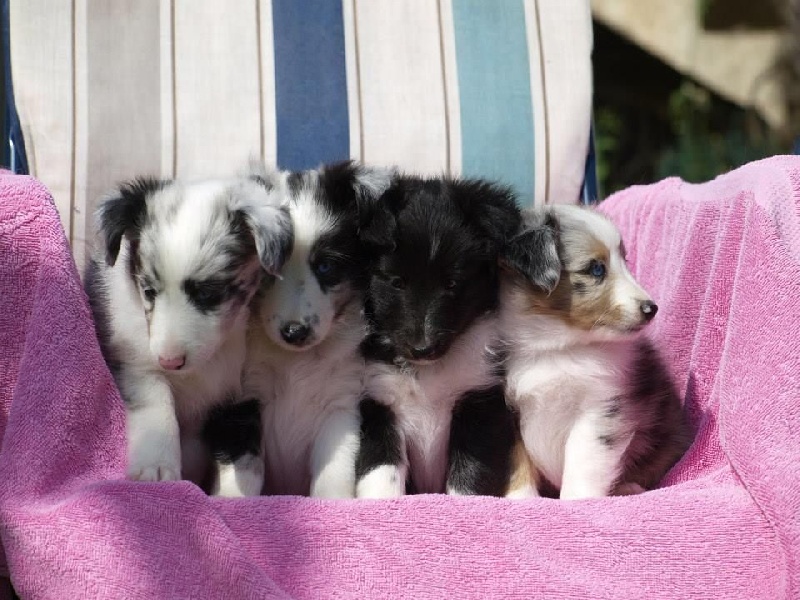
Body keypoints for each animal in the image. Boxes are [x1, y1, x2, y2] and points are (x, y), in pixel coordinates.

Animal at [86, 176, 292, 486]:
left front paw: (233, 494)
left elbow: (244, 458)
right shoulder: (134, 363)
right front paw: (156, 467)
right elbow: (157, 405)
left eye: (208, 294)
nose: (170, 362)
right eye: (148, 291)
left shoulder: (243, 393)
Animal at [198, 162, 390, 500]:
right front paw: (234, 501)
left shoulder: (341, 406)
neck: (296, 361)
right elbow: (243, 470)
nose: (295, 332)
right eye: (267, 273)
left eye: (326, 266)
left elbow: (332, 475)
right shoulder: (240, 401)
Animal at [504, 204, 692, 500]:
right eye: (596, 269)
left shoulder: (601, 408)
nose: (651, 308)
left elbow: (583, 464)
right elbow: (516, 463)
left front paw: (578, 501)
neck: (557, 348)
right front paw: (522, 500)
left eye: (625, 261)